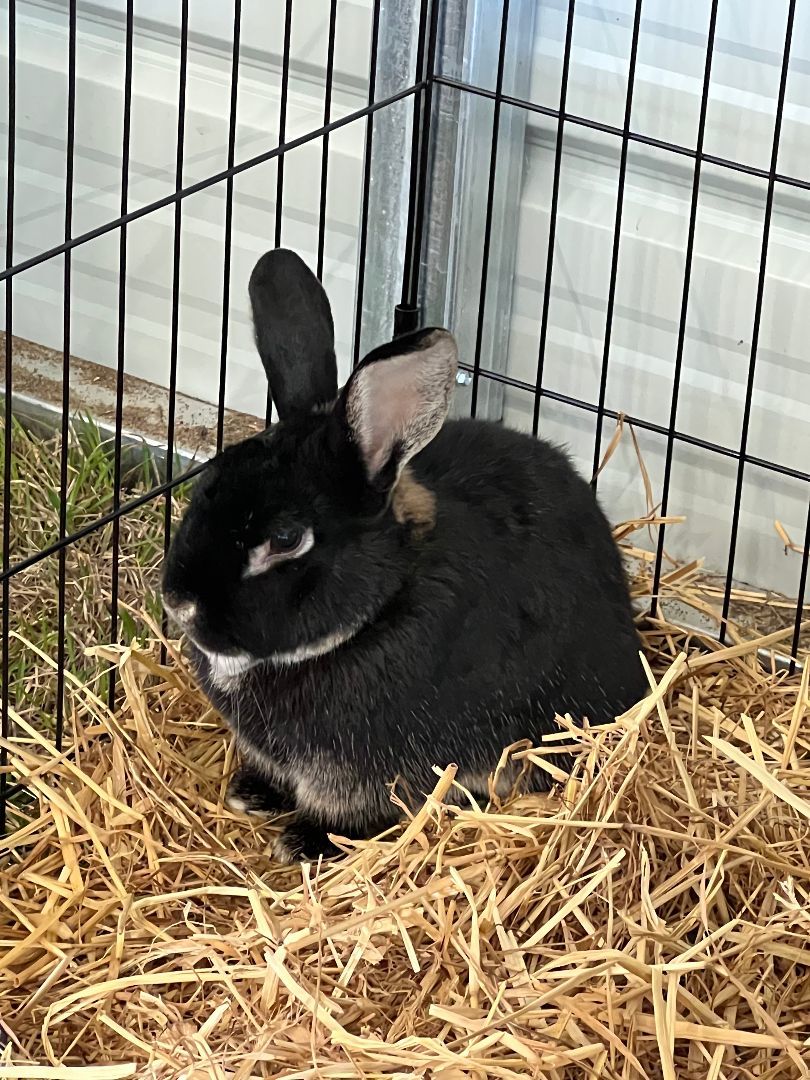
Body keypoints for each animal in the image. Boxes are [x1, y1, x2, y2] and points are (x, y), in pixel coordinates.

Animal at [162, 248, 647, 863]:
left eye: (287, 539)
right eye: (210, 478)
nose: (178, 603)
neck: (379, 608)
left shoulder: (366, 775)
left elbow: (355, 813)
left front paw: (304, 842)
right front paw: (252, 792)